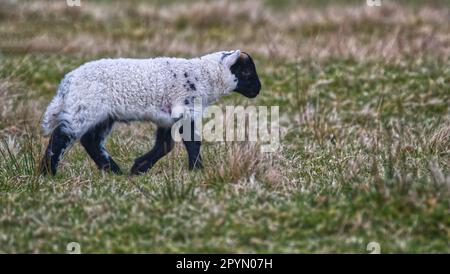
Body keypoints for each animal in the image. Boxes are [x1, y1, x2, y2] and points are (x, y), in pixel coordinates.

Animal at [41, 49, 264, 176]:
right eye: (245, 71)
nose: (258, 89)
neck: (204, 76)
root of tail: (67, 82)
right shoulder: (186, 107)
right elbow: (192, 143)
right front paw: (198, 170)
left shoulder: (167, 116)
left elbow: (164, 145)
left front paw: (139, 167)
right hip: (84, 108)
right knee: (61, 136)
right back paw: (48, 173)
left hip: (103, 115)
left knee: (91, 141)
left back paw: (114, 171)